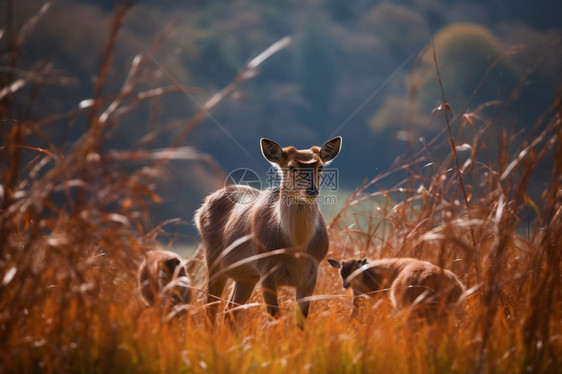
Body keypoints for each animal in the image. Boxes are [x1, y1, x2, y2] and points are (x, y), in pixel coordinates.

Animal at [192, 137, 342, 328]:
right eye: (291, 167)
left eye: (320, 167)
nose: (312, 190)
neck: (296, 249)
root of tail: (200, 210)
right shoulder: (267, 269)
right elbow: (274, 316)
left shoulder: (311, 272)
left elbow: (301, 320)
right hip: (214, 262)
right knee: (210, 309)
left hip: (246, 276)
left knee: (229, 311)